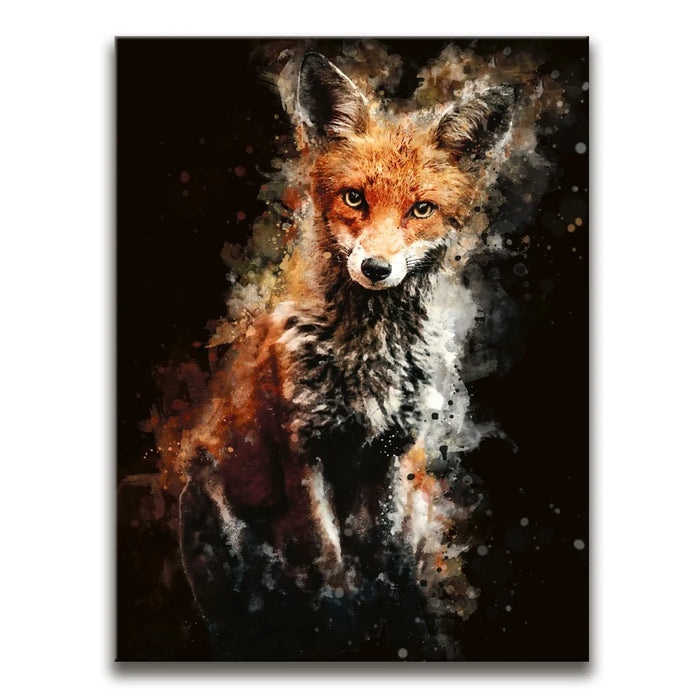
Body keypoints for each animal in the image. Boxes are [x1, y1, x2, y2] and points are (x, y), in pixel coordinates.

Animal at [177, 51, 517, 660]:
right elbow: (329, 561)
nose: (376, 268)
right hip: (214, 511)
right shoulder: (302, 450)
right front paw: (341, 623)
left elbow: (382, 559)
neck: (368, 359)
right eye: (354, 198)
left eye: (421, 209)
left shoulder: (390, 452)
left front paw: (392, 623)